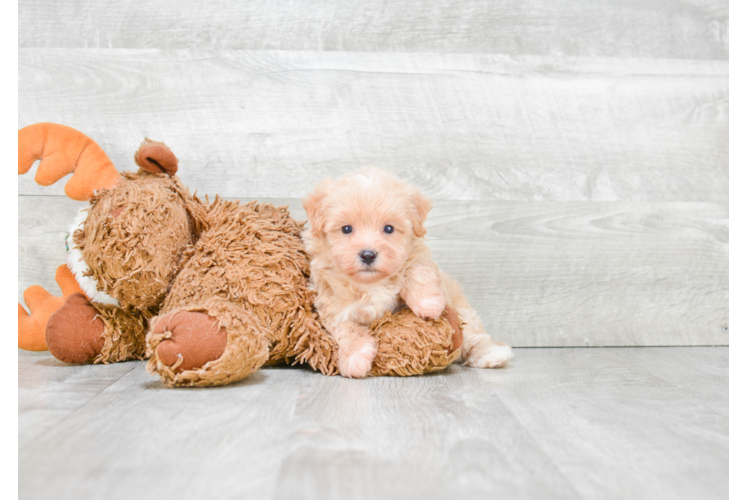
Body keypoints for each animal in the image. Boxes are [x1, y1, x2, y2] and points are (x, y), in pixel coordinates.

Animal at [300, 170, 512, 376]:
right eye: (346, 229)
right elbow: (348, 331)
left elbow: (417, 269)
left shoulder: (416, 254)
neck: (371, 282)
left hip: (462, 311)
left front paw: (429, 304)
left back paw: (492, 354)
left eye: (388, 228)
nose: (368, 255)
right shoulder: (333, 307)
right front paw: (355, 359)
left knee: (472, 336)